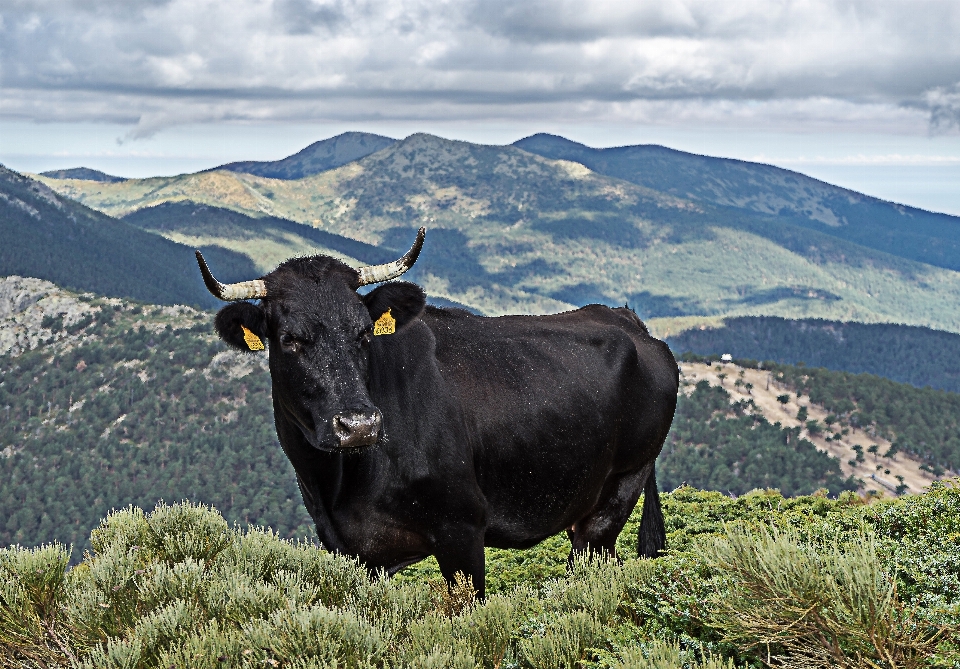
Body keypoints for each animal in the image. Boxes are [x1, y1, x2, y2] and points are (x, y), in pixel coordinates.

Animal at [202, 237, 680, 596]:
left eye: (363, 333)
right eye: (289, 339)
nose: (359, 426)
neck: (339, 485)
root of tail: (627, 319)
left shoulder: (461, 529)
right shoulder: (350, 548)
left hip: (622, 486)